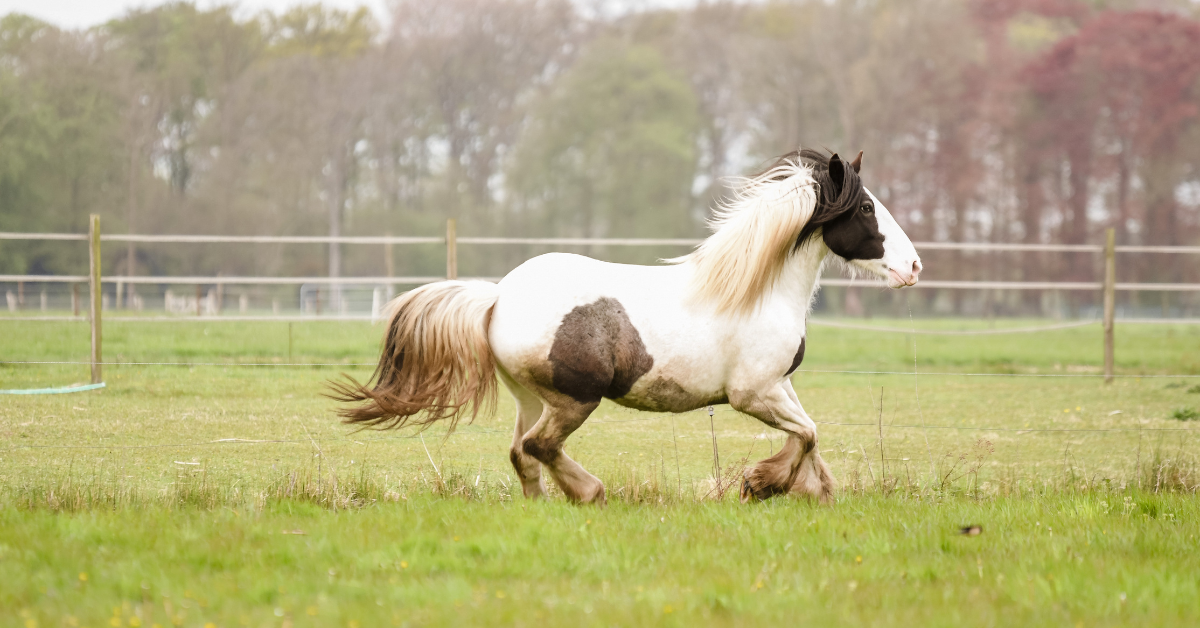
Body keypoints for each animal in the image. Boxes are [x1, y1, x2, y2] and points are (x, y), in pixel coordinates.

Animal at [332, 149, 922, 505]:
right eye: (866, 207)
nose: (913, 267)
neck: (757, 291)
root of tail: (499, 296)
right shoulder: (754, 393)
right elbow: (807, 433)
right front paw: (761, 483)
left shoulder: (782, 385)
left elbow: (811, 434)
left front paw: (813, 491)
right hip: (574, 399)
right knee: (540, 447)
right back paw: (590, 493)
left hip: (529, 398)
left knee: (520, 452)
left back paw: (540, 507)